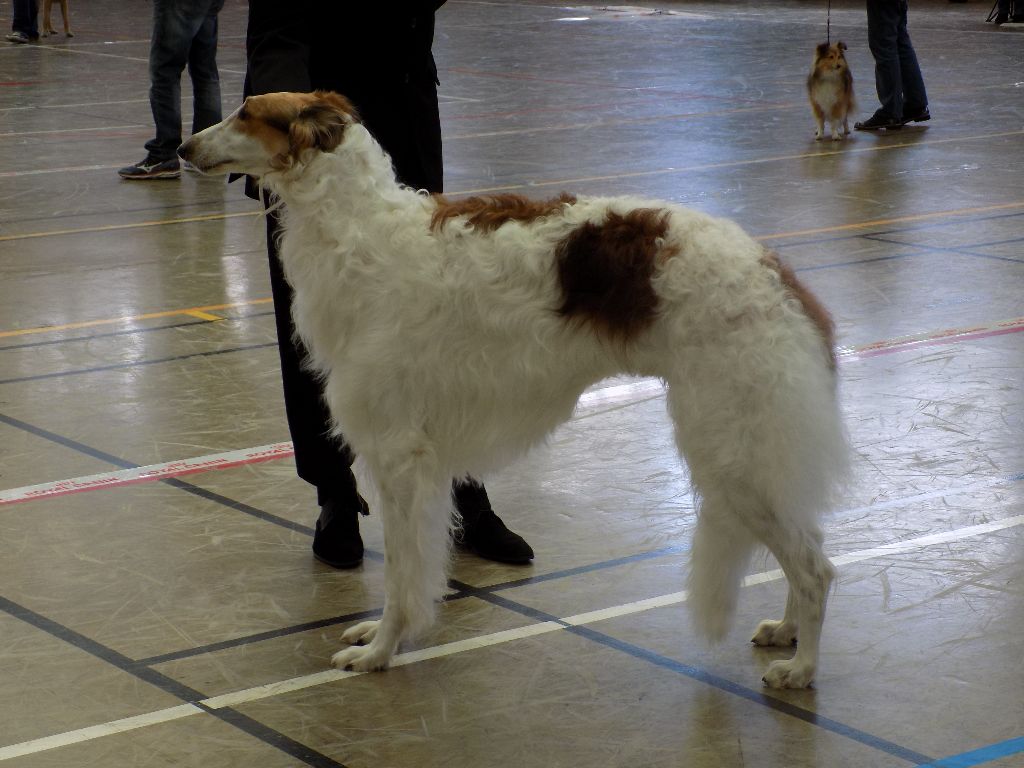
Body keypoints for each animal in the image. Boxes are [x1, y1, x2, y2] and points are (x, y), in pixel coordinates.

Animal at [182, 90, 847, 692]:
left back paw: (803, 668)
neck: (360, 232)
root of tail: (773, 271)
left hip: (734, 450)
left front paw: (379, 651)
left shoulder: (400, 454)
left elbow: (403, 574)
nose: (184, 148)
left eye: (246, 112)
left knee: (817, 568)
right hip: (752, 453)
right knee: (808, 547)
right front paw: (375, 638)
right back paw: (786, 632)